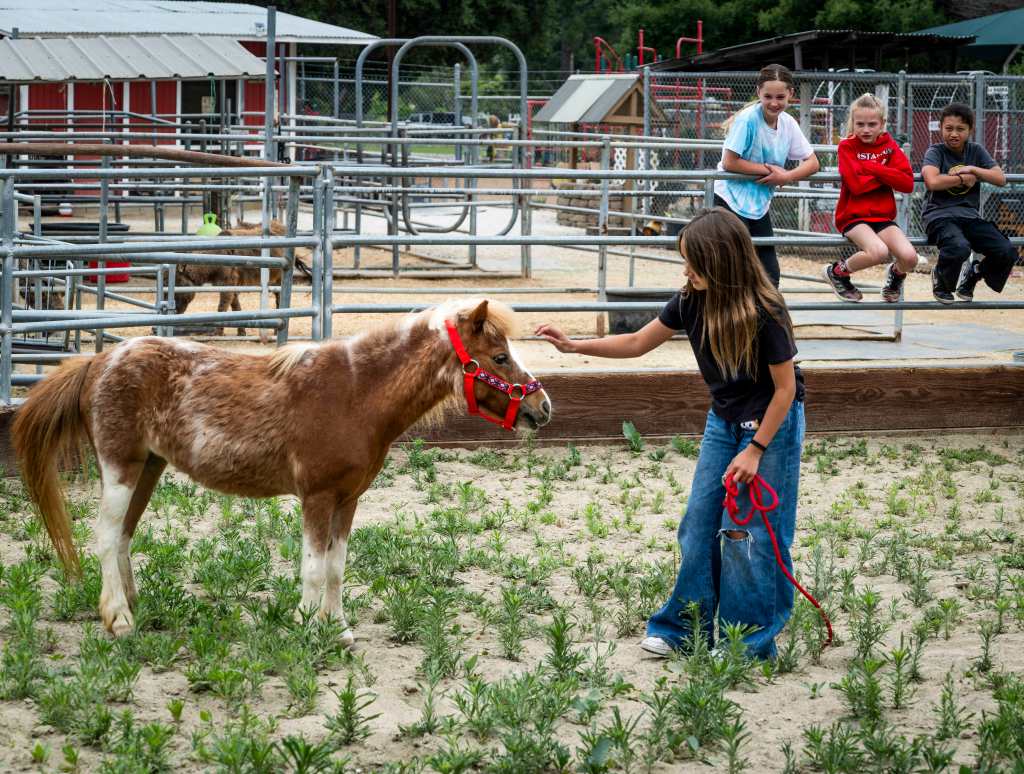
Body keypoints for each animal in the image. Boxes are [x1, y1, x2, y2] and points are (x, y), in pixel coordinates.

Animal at [12, 298, 552, 642]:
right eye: (500, 356)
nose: (543, 408)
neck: (356, 393)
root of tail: (101, 359)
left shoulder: (348, 499)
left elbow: (336, 565)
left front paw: (338, 629)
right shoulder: (317, 496)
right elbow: (313, 567)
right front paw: (308, 626)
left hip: (148, 467)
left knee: (123, 536)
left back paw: (131, 606)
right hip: (120, 467)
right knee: (106, 536)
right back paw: (119, 619)